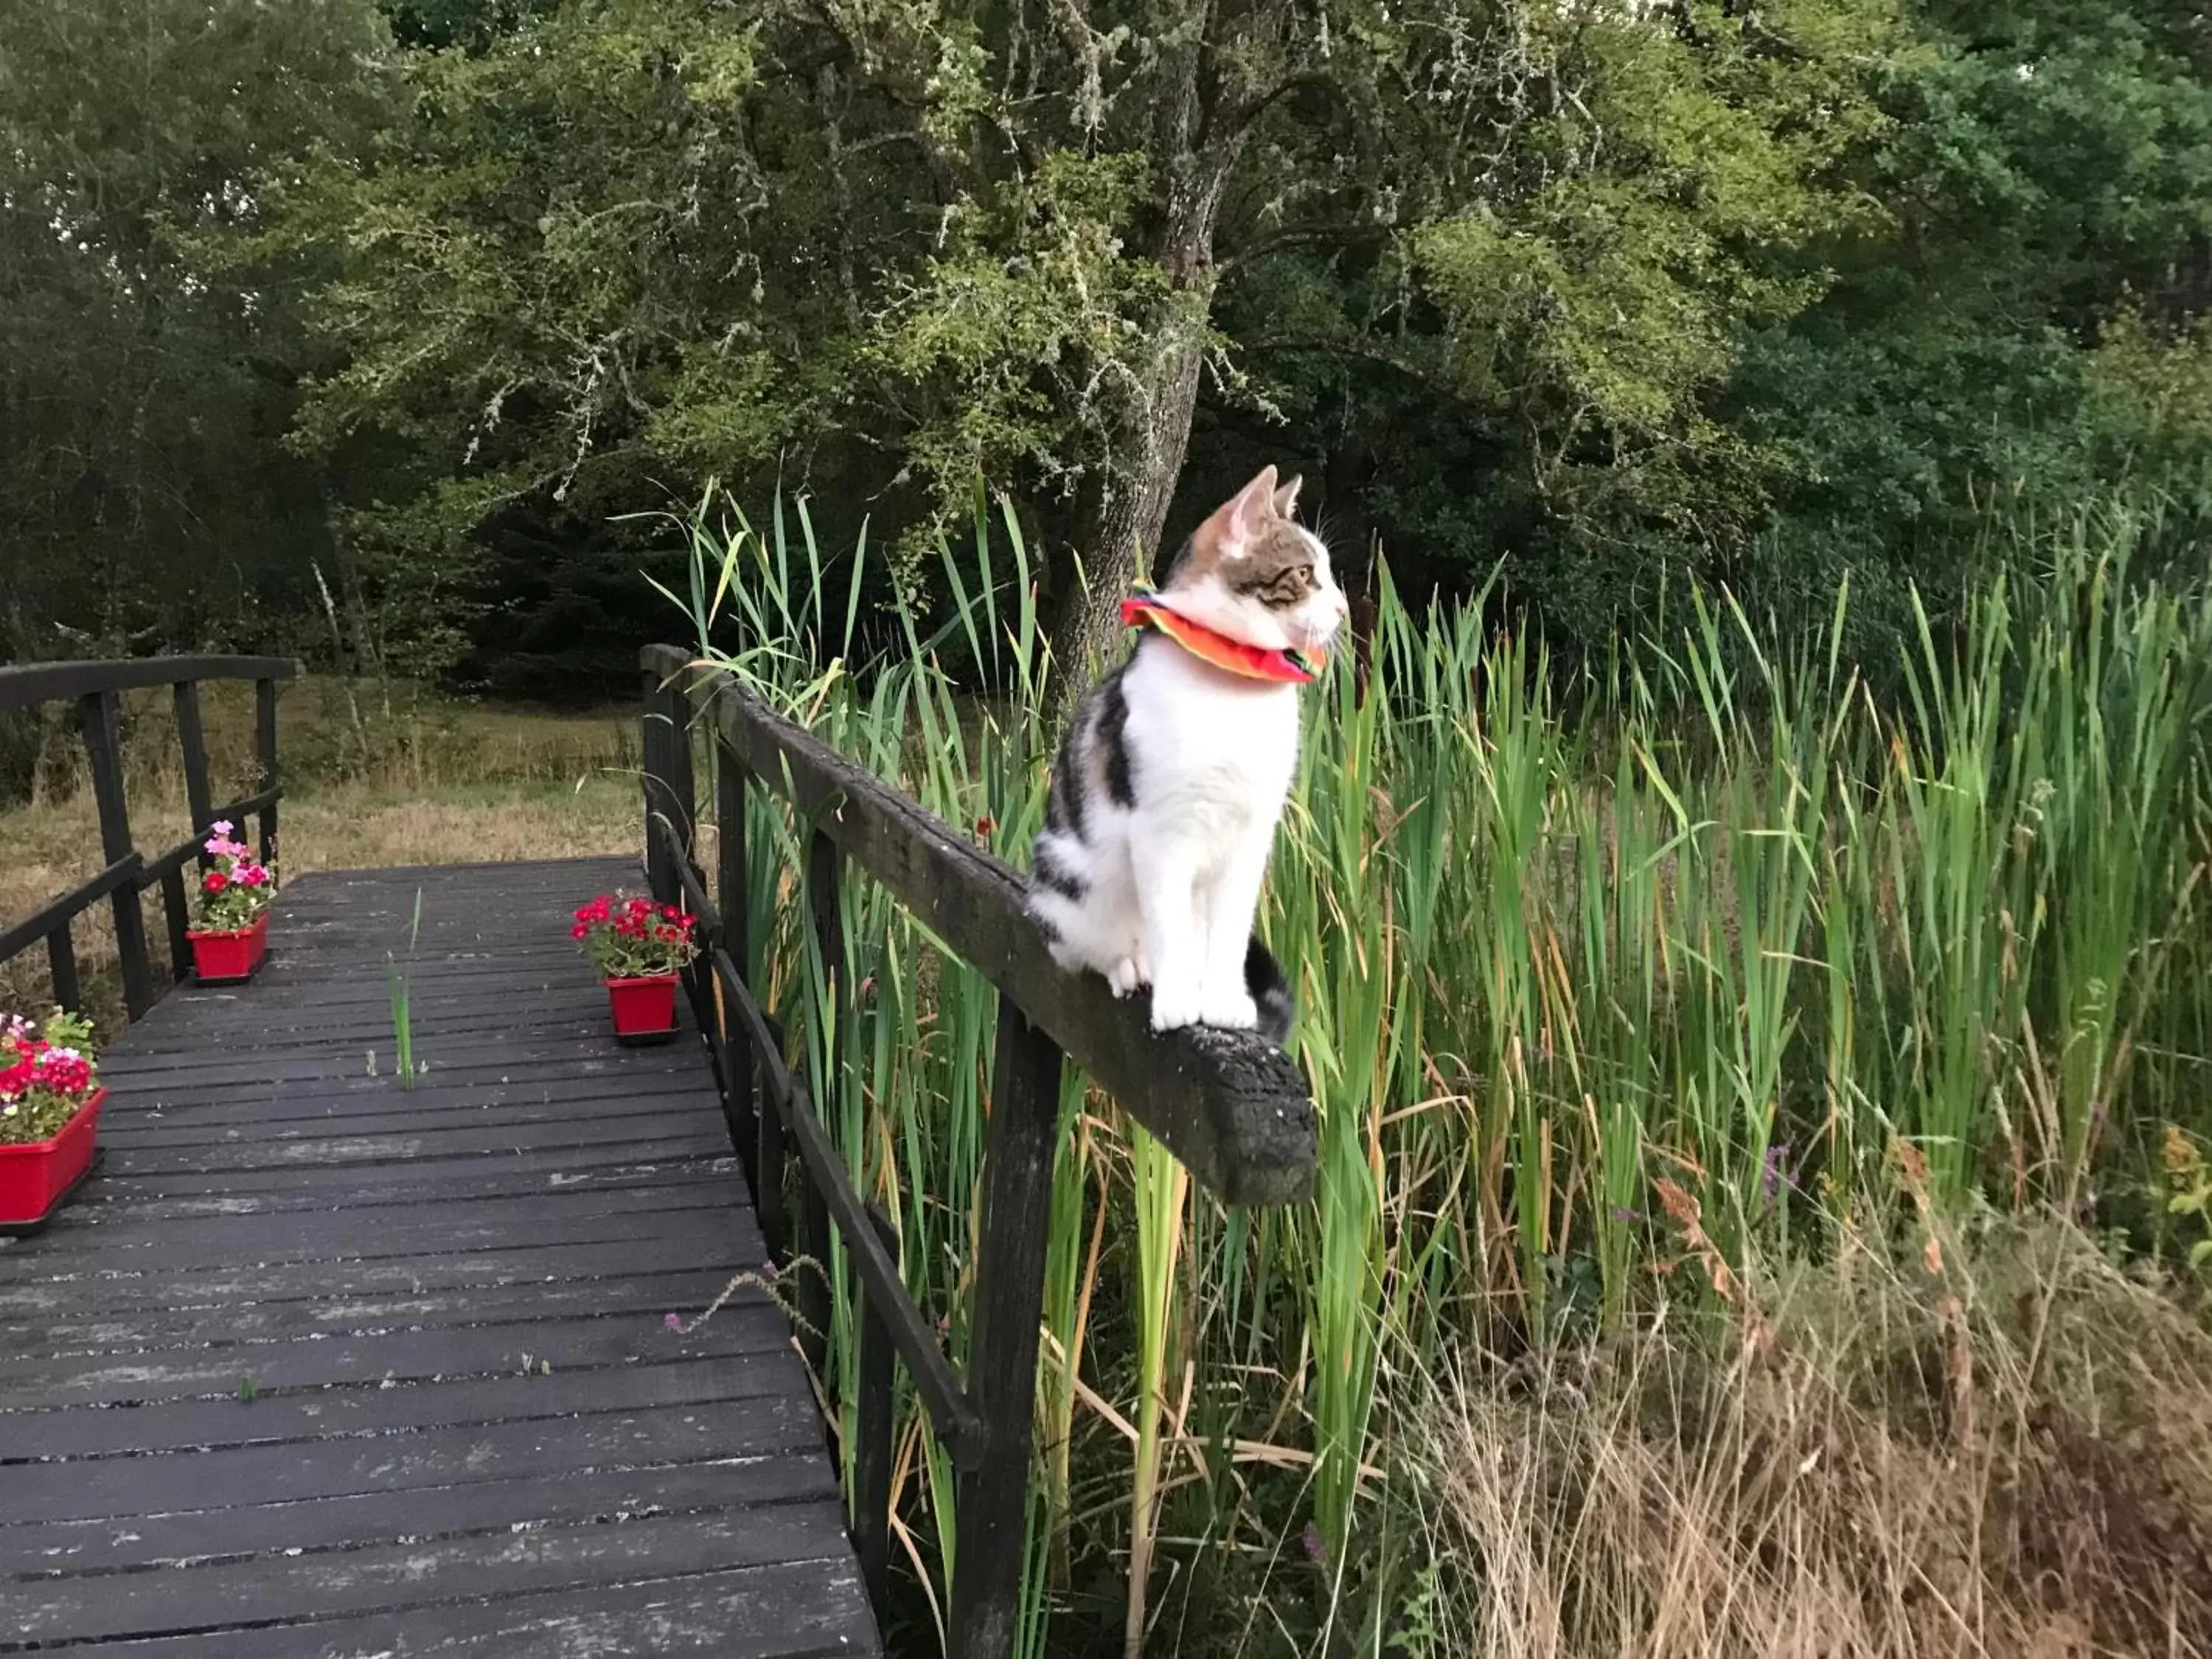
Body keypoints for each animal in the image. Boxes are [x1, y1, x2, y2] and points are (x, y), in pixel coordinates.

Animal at [1022, 462, 1345, 1044]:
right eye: (1306, 573)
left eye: (1329, 575)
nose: (1343, 607)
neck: (1235, 693)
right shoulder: (1162, 830)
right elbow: (1167, 924)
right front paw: (1176, 1002)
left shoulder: (1251, 834)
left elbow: (1230, 934)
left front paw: (1223, 1002)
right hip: (1068, 879)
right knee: (1094, 946)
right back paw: (1132, 968)